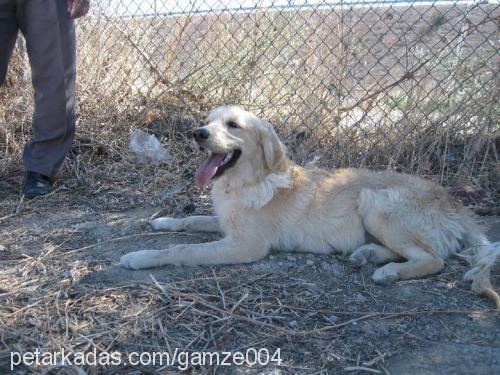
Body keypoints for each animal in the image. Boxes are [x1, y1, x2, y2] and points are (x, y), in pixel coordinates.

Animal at [122, 105, 500, 308]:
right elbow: (193, 220)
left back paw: (388, 272)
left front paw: (139, 256)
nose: (197, 133)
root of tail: (455, 202)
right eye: (208, 119)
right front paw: (164, 222)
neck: (246, 182)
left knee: (433, 259)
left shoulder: (246, 245)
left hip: (376, 203)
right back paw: (367, 255)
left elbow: (180, 248)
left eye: (232, 125)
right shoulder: (227, 222)